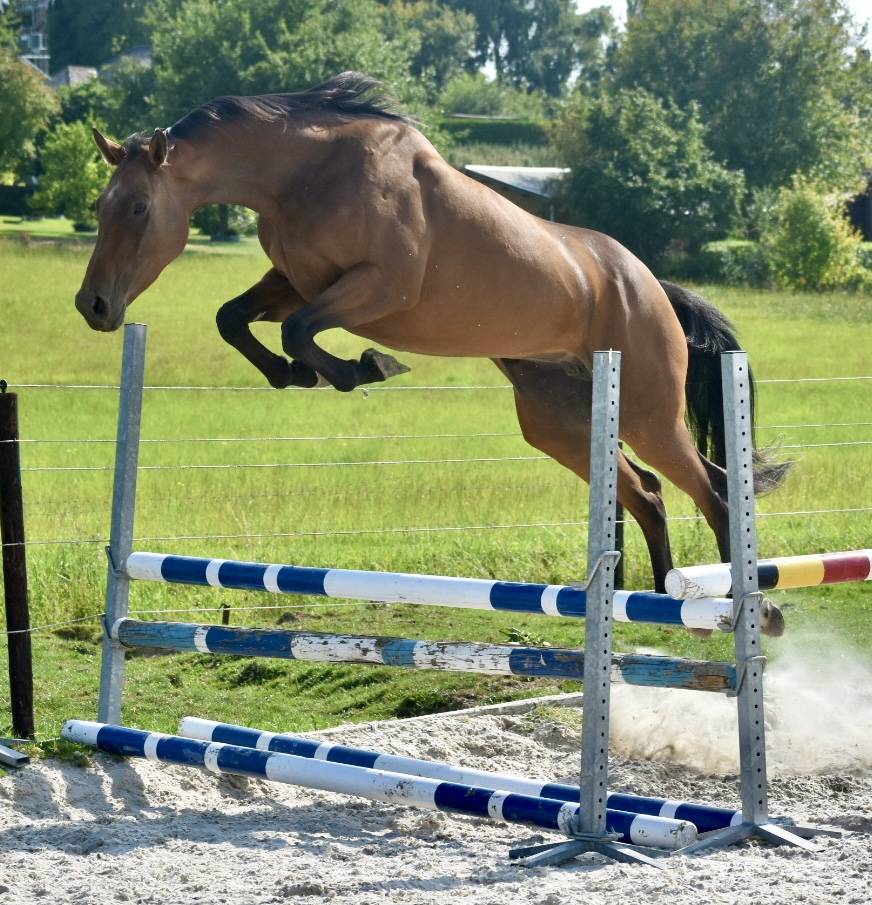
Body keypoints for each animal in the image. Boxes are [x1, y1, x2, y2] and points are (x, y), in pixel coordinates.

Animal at [75, 72, 787, 634]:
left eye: (137, 207)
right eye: (101, 205)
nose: (94, 306)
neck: (306, 174)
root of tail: (653, 286)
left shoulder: (377, 289)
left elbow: (300, 331)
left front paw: (360, 368)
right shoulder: (295, 282)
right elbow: (237, 320)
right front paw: (295, 375)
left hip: (645, 412)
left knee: (713, 490)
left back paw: (748, 611)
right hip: (560, 420)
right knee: (647, 493)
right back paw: (650, 603)